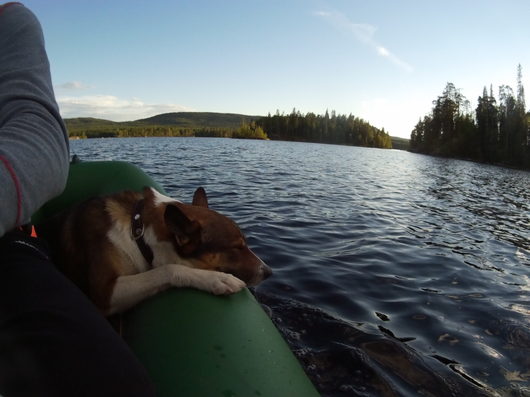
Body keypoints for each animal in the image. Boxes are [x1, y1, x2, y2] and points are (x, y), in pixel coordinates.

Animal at [40, 186, 272, 316]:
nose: (269, 272)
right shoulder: (104, 291)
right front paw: (216, 279)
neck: (138, 234)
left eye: (245, 243)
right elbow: (168, 269)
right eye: (237, 247)